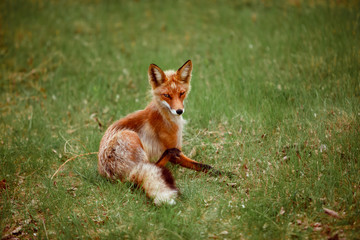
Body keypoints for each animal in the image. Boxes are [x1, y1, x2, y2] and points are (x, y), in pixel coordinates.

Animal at [98, 60, 222, 204]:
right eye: (166, 95)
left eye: (181, 93)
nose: (179, 111)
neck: (165, 116)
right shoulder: (176, 151)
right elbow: (202, 166)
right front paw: (226, 175)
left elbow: (203, 166)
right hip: (130, 136)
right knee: (155, 166)